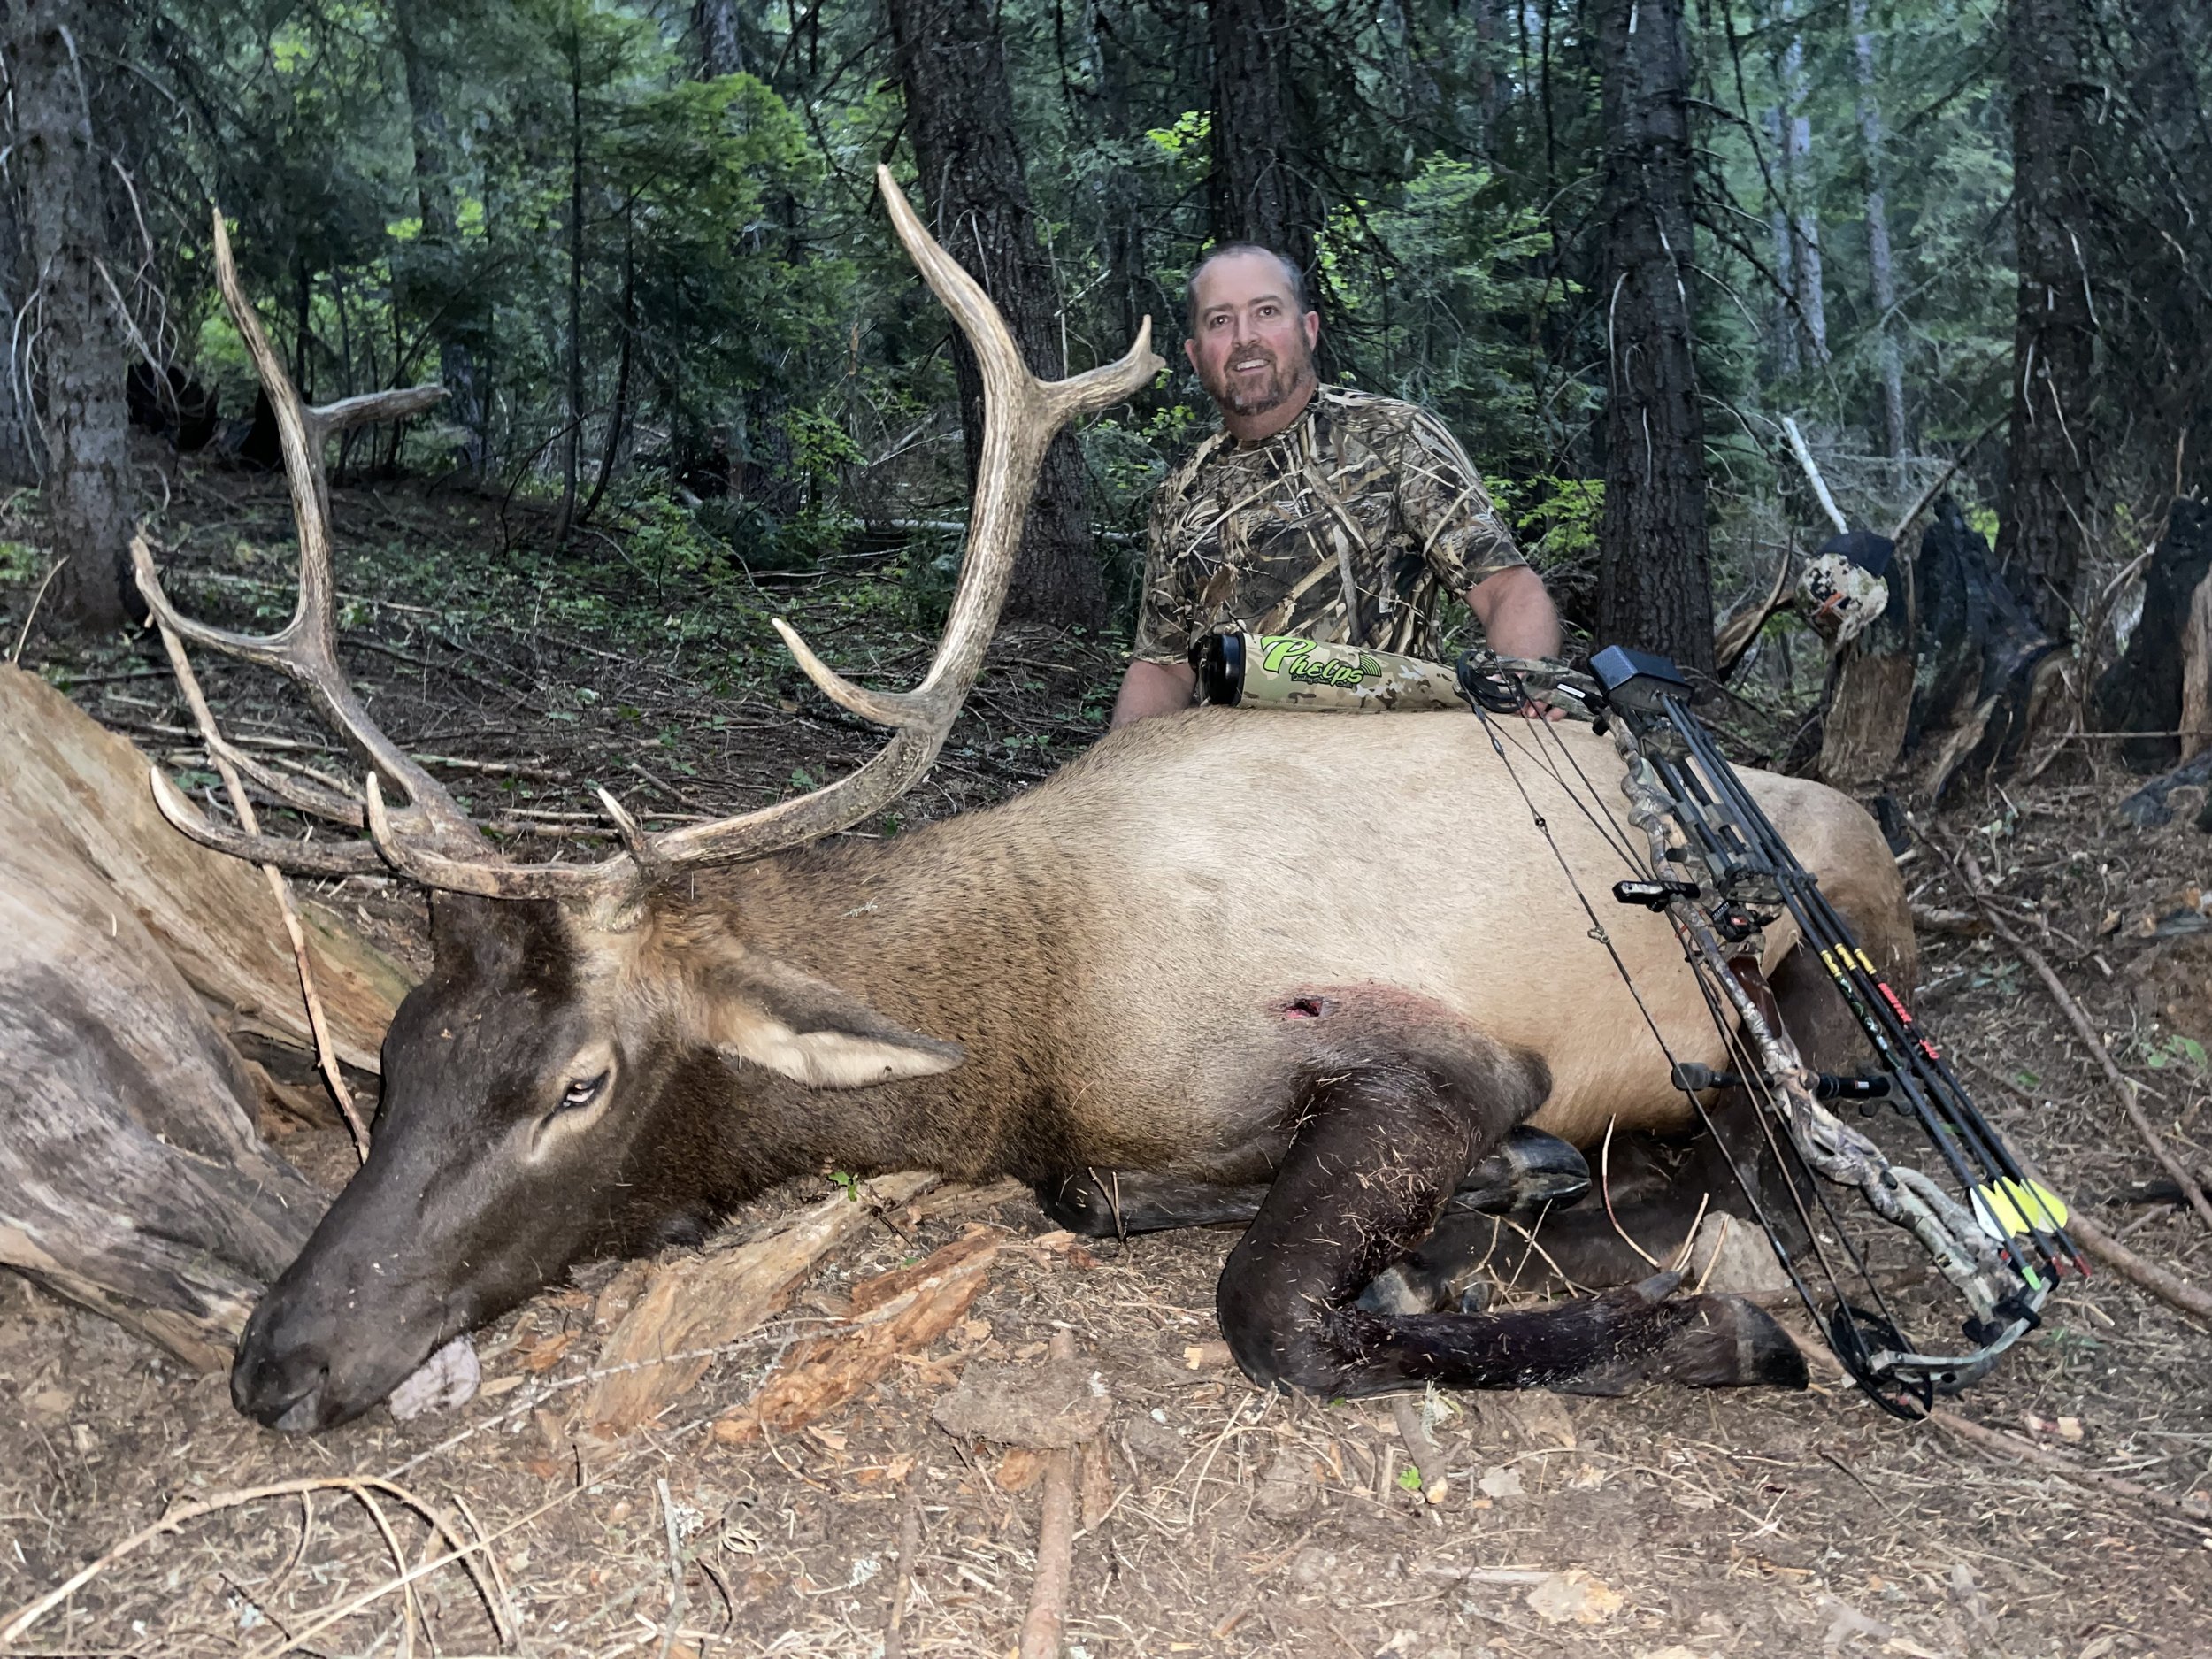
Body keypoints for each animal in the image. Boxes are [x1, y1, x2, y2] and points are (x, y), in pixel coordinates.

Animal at [141, 171, 1912, 1433]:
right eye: (396, 1054)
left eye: (581, 1083)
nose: (275, 1362)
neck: (1030, 1020)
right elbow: (1101, 1197)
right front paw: (1451, 1237)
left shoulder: (1448, 1049)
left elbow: (1271, 1309)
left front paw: (1708, 1320)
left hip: (1830, 929)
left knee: (1796, 1121)